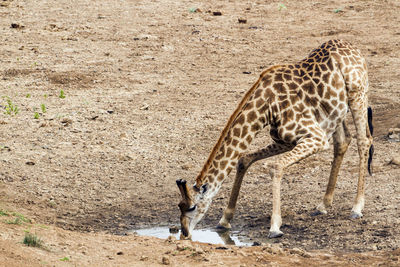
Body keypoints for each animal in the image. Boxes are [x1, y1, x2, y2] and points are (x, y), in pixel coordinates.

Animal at [177, 39, 374, 239]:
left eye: (192, 207)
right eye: (180, 206)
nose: (184, 232)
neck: (266, 107)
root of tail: (352, 46)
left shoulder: (316, 137)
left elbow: (275, 166)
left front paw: (274, 227)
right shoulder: (285, 140)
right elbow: (243, 159)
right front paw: (225, 220)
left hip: (357, 95)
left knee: (364, 140)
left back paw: (357, 207)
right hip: (335, 113)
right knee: (342, 141)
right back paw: (323, 205)